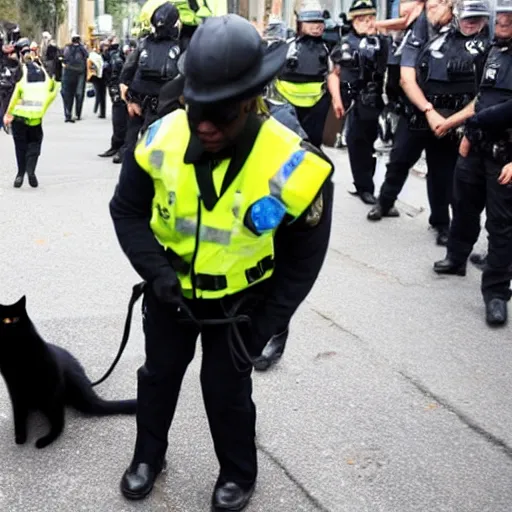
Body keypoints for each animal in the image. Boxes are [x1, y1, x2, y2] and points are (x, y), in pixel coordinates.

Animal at [0, 296, 136, 448]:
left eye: (15, 318)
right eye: (3, 319)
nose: (9, 325)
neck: (16, 349)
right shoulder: (14, 389)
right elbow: (18, 415)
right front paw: (20, 437)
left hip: (52, 396)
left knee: (59, 422)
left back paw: (45, 440)